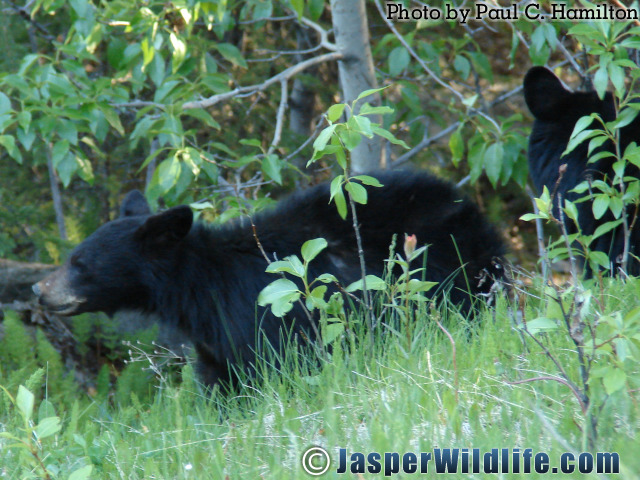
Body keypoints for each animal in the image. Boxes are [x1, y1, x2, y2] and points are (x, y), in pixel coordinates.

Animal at [33, 171, 505, 386]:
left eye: (79, 262)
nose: (39, 289)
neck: (200, 290)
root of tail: (469, 208)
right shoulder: (216, 339)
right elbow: (221, 382)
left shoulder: (263, 319)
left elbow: (275, 368)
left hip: (449, 273)